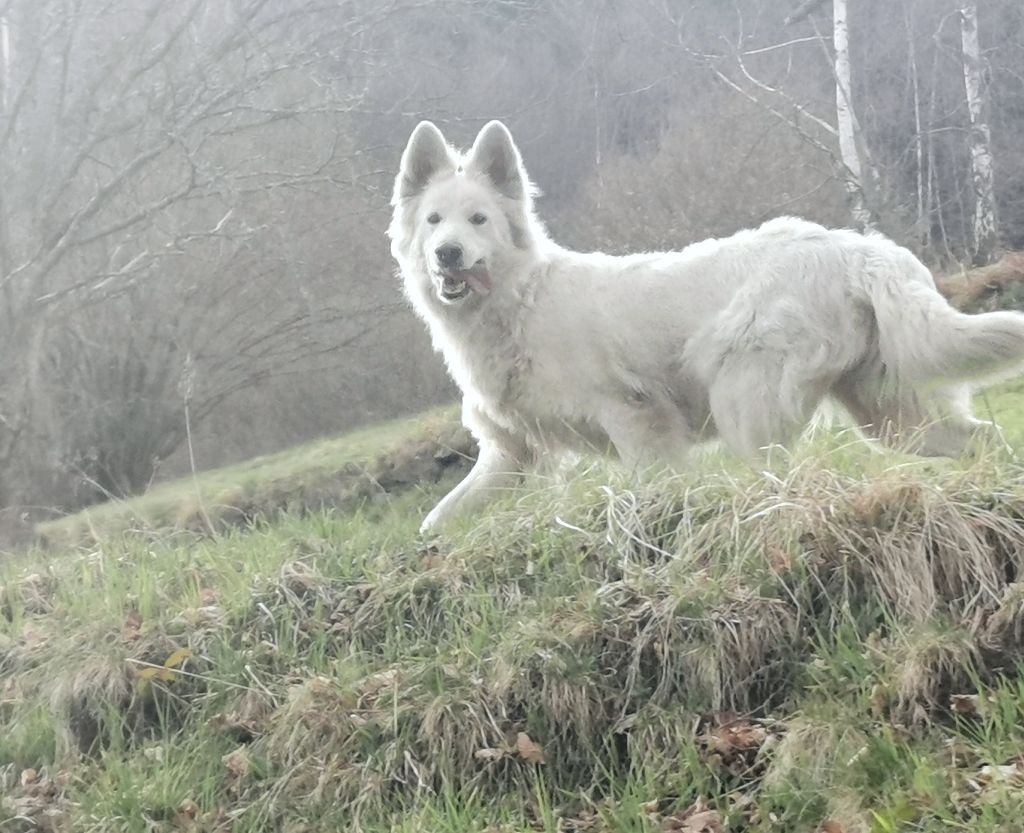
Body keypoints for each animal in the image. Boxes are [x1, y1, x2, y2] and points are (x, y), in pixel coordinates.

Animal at [387, 120, 1024, 528]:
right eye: (434, 220)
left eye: (479, 220)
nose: (447, 254)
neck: (521, 300)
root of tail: (857, 249)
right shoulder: (509, 455)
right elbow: (436, 522)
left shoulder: (636, 419)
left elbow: (654, 485)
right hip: (894, 417)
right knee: (984, 439)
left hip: (746, 405)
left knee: (789, 478)